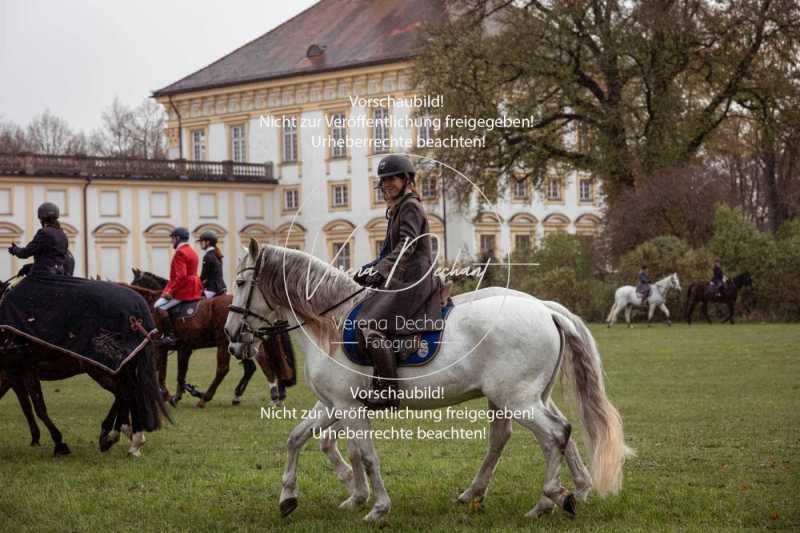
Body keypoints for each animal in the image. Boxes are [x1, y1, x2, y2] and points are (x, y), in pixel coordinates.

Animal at [0, 272, 169, 456]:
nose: (161, 320)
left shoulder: (18, 369)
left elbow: (35, 406)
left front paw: (57, 442)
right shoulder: (15, 372)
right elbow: (29, 405)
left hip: (101, 369)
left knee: (126, 393)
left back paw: (117, 436)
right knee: (126, 393)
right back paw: (123, 436)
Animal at [223, 243, 632, 520]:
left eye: (242, 282)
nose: (230, 336)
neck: (331, 325)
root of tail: (544, 308)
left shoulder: (350, 408)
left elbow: (365, 455)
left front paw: (377, 506)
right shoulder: (332, 405)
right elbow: (298, 439)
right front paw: (291, 498)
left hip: (519, 400)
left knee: (555, 435)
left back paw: (547, 499)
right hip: (522, 397)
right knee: (539, 436)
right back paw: (552, 492)